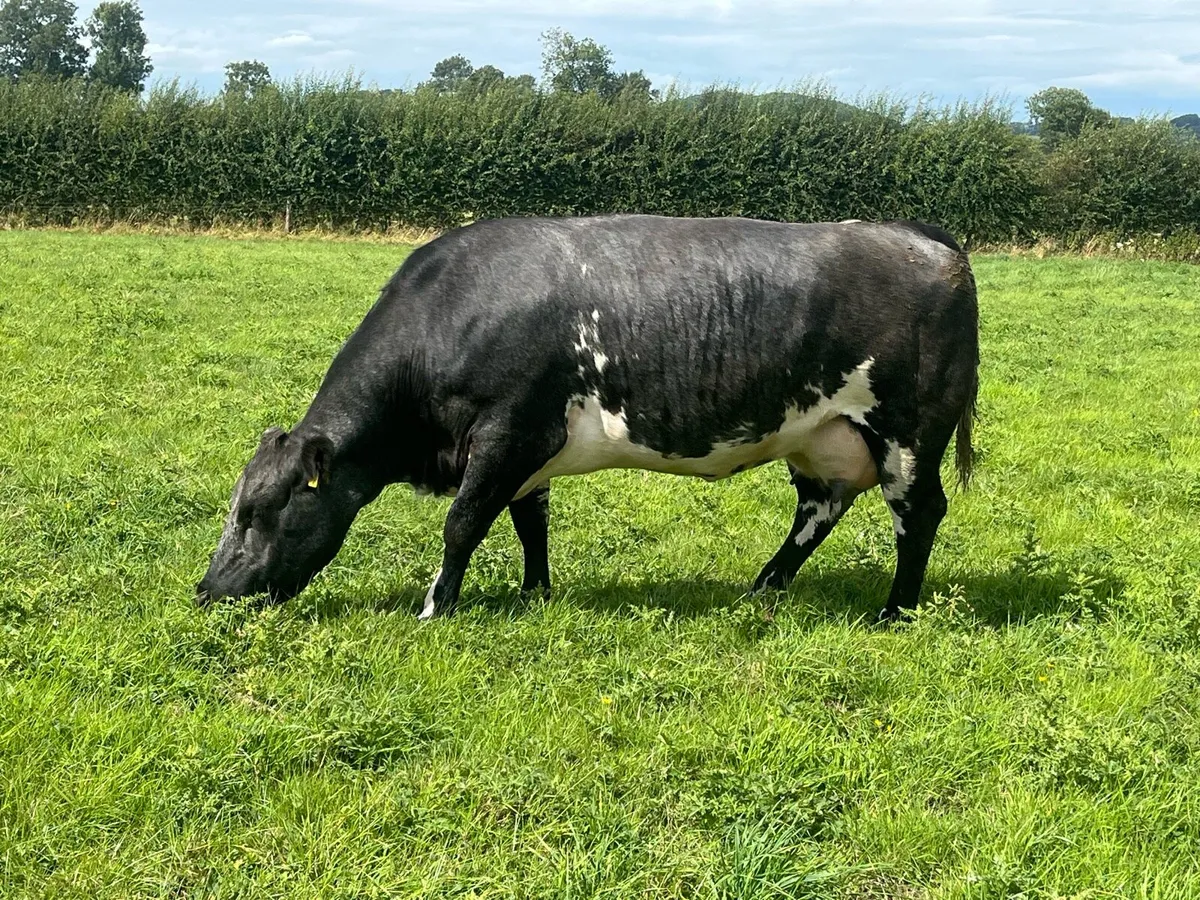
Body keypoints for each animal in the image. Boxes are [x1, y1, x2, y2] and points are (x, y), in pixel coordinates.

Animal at [196, 214, 978, 623]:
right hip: (820, 437)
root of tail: (931, 240)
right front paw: (534, 594)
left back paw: (895, 611)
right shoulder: (526, 452)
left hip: (909, 434)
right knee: (818, 510)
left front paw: (435, 608)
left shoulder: (508, 431)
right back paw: (759, 590)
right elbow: (528, 522)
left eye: (259, 512)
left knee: (918, 514)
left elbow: (462, 524)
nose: (208, 592)